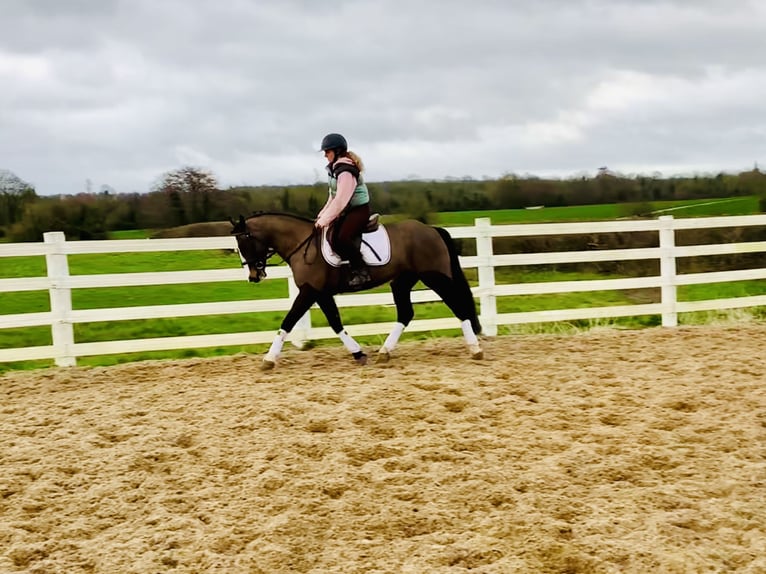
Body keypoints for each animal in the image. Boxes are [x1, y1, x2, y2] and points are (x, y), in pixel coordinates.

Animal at [230, 212, 482, 369]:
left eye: (245, 241)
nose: (253, 276)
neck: (302, 245)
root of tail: (432, 230)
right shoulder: (321, 294)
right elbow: (335, 323)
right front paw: (358, 353)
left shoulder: (309, 292)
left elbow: (288, 322)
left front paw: (269, 359)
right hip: (402, 281)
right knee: (405, 313)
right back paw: (384, 352)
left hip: (435, 278)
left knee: (458, 305)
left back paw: (475, 349)